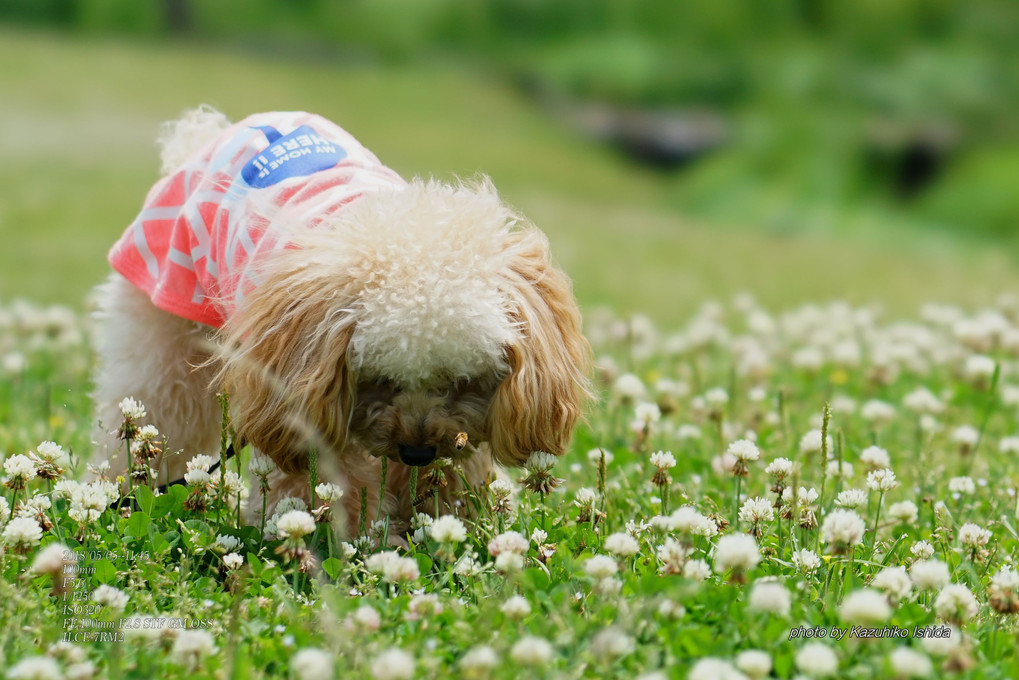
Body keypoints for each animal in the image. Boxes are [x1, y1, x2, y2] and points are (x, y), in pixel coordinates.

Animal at [91, 109, 595, 538]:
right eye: (379, 378)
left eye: (463, 381)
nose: (417, 453)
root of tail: (204, 138)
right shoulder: (303, 395)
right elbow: (324, 490)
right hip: (164, 319)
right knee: (155, 412)